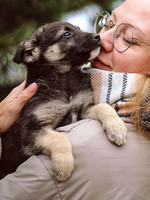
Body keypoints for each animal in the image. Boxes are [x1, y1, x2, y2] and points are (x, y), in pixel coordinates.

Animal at [0, 22, 126, 181]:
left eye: (78, 29)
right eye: (66, 34)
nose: (98, 37)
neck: (65, 79)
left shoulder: (83, 110)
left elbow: (103, 107)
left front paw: (117, 128)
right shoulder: (30, 130)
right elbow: (58, 137)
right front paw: (63, 166)